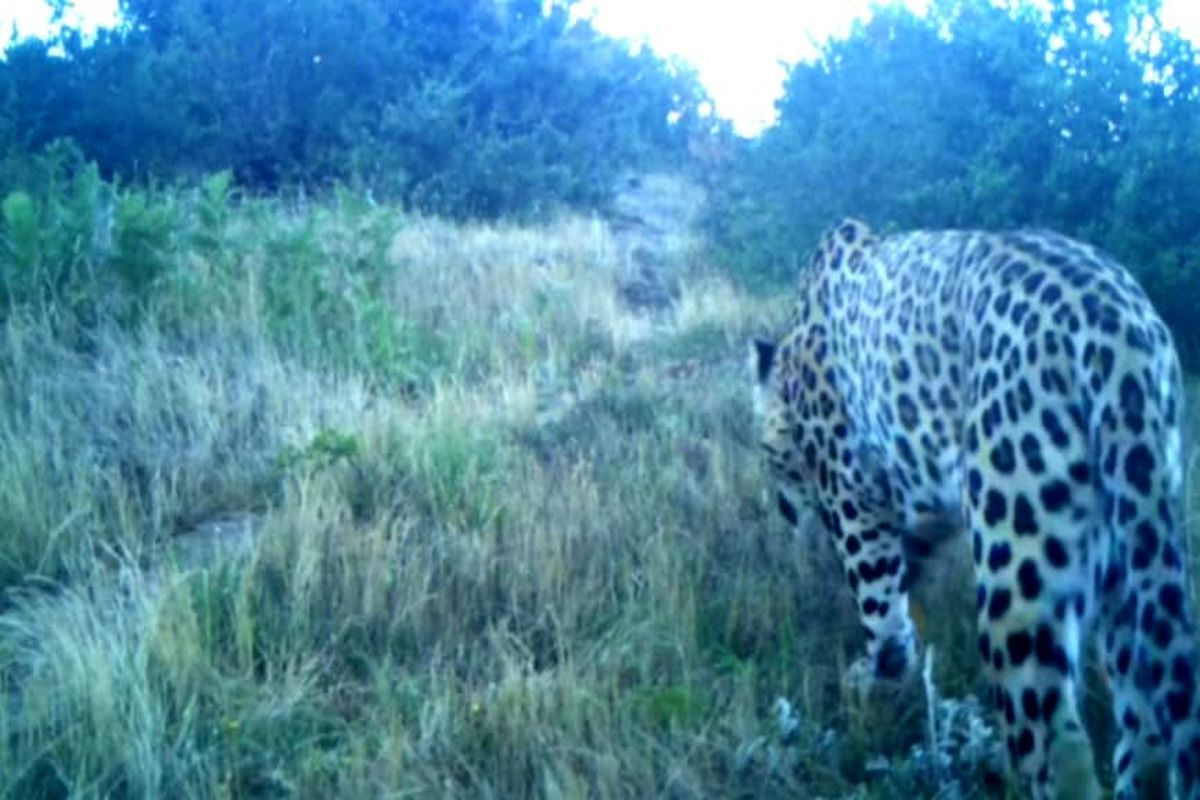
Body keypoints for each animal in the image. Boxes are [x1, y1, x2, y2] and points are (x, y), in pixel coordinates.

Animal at [753, 219, 1195, 800]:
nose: (783, 510)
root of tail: (1117, 324)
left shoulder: (854, 499)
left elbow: (877, 602)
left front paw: (873, 679)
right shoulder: (919, 504)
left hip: (1020, 569)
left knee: (1058, 744)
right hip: (1134, 547)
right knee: (1144, 730)